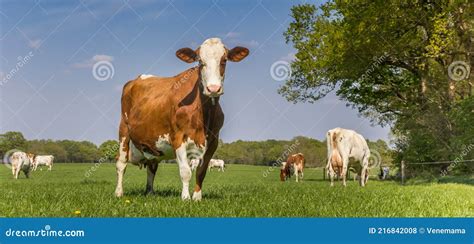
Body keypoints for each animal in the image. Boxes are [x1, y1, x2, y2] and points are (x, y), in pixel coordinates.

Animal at [114, 36, 250, 200]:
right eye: (200, 61)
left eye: (224, 60)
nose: (213, 89)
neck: (204, 114)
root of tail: (136, 80)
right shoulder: (178, 137)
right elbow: (185, 171)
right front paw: (185, 198)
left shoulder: (213, 141)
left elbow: (201, 172)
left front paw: (197, 197)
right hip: (124, 130)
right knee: (121, 163)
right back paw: (119, 192)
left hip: (152, 144)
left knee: (152, 167)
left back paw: (150, 192)